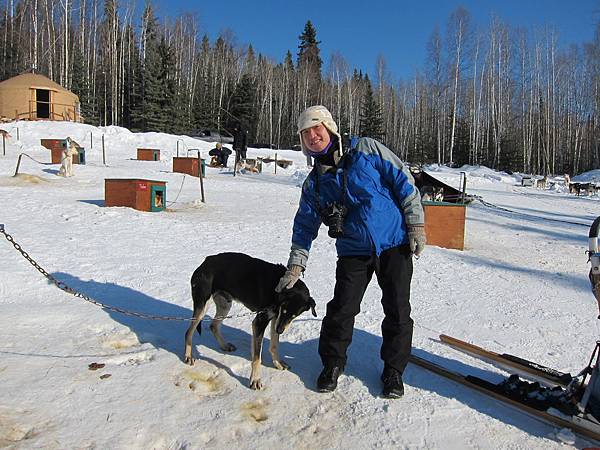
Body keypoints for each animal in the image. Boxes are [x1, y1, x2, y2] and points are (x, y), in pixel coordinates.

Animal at [184, 253, 318, 390]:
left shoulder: (275, 319)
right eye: (284, 310)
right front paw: (255, 380)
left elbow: (274, 345)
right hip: (202, 306)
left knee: (213, 326)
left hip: (225, 305)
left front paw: (277, 363)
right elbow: (257, 357)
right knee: (189, 331)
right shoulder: (260, 322)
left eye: (294, 316)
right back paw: (188, 356)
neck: (276, 291)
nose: (280, 330)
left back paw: (224, 345)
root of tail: (205, 262)